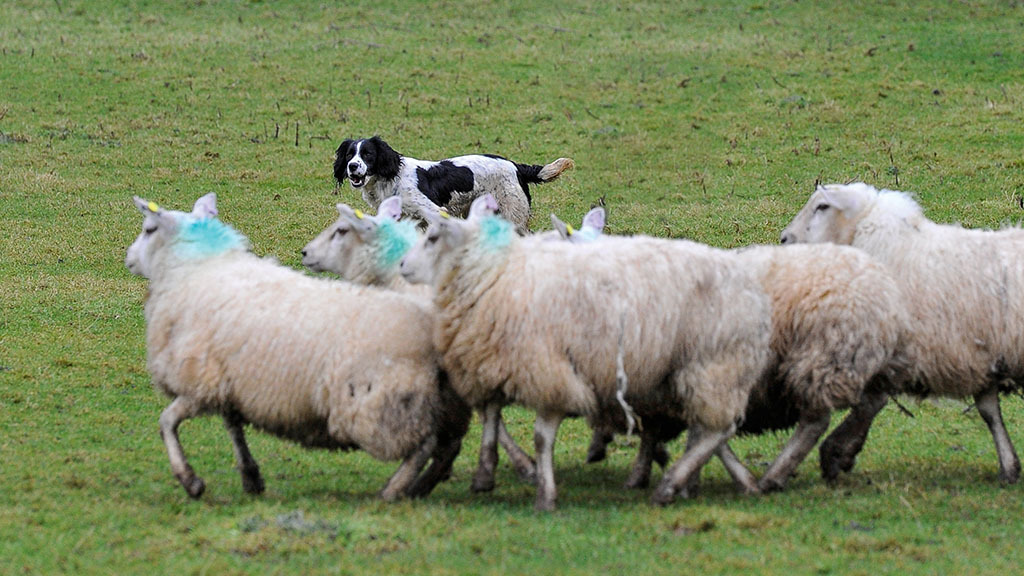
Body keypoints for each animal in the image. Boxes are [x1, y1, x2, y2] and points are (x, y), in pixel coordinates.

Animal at [125, 193, 470, 500]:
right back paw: (425, 485)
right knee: (447, 444)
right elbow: (233, 426)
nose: (128, 258)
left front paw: (190, 480)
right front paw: (250, 476)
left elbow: (166, 423)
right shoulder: (228, 379)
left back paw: (395, 489)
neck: (195, 269)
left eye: (149, 229)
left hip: (380, 401)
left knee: (424, 444)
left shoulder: (200, 379)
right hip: (442, 399)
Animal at [400, 195, 773, 510]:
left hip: (713, 363)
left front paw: (545, 493)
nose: (402, 264)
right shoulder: (493, 361)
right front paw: (486, 473)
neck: (494, 274)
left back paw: (674, 484)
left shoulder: (547, 368)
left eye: (433, 238)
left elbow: (540, 436)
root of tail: (754, 294)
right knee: (709, 427)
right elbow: (492, 416)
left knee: (717, 429)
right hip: (688, 370)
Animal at [552, 208, 908, 493]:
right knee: (872, 401)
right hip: (851, 360)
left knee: (815, 422)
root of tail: (880, 287)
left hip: (818, 360)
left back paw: (777, 475)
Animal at [781, 182, 1024, 484]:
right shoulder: (978, 353)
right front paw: (1009, 466)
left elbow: (870, 402)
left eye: (822, 206)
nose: (784, 238)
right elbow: (989, 411)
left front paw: (836, 453)